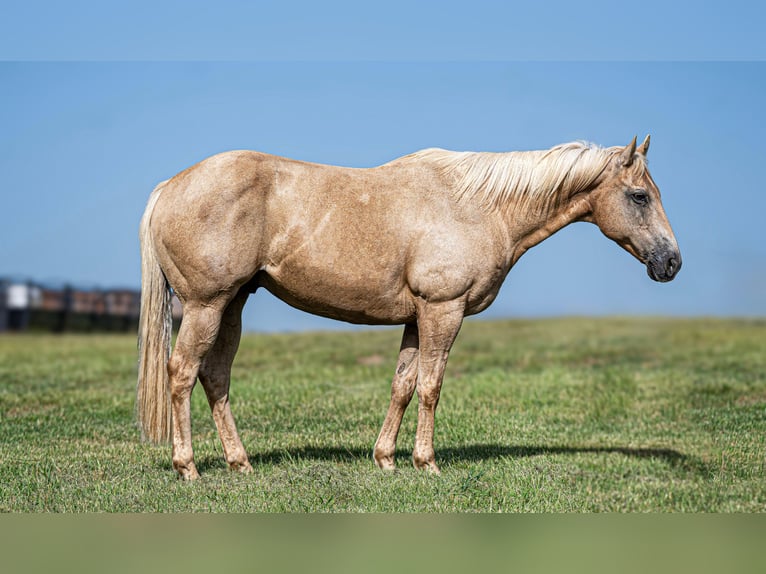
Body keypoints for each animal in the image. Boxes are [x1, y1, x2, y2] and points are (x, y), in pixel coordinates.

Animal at [136, 135, 681, 480]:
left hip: (231, 306)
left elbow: (402, 384)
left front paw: (386, 459)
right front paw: (426, 462)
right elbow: (430, 387)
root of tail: (169, 187)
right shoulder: (443, 310)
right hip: (205, 306)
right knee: (182, 374)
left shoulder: (417, 318)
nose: (671, 262)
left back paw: (240, 463)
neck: (479, 206)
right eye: (639, 196)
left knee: (216, 378)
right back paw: (188, 467)